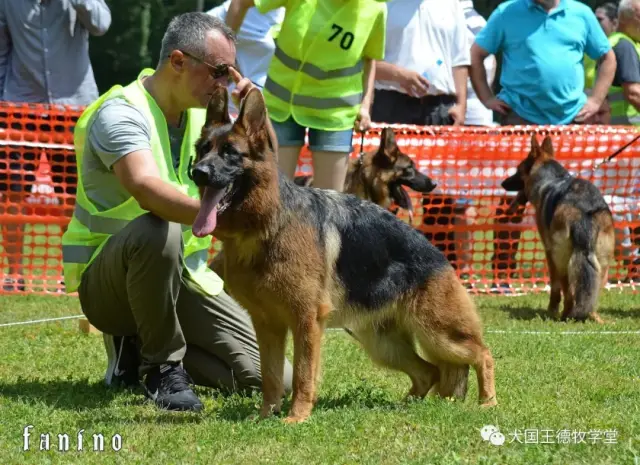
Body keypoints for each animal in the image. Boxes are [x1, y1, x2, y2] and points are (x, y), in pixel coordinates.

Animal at [500, 134, 616, 322]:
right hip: (602, 262)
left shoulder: (549, 252)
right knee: (591, 293)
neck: (551, 179)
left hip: (562, 259)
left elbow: (554, 287)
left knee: (568, 291)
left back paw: (565, 316)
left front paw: (551, 310)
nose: (503, 183)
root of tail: (583, 210)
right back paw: (593, 317)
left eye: (518, 170)